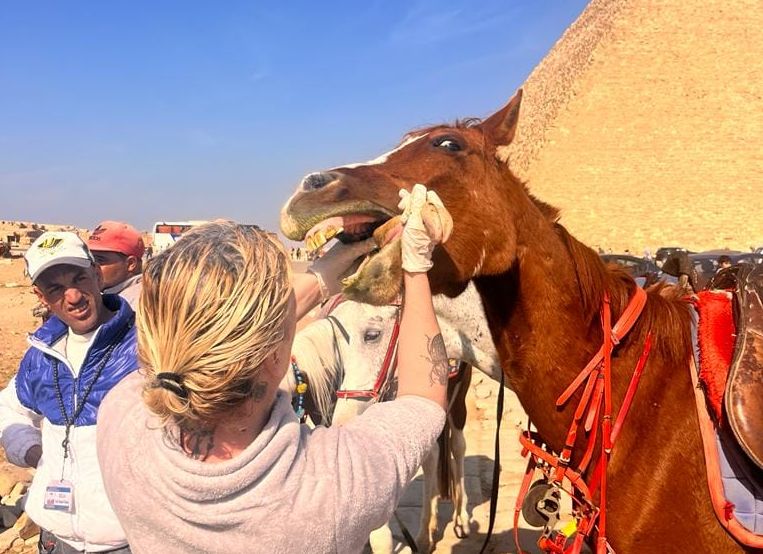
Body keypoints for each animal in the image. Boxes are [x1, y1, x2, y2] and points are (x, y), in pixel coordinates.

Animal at [286, 282, 502, 548]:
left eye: (372, 335)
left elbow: (380, 536)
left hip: (458, 396)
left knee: (457, 447)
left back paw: (459, 519)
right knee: (432, 455)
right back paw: (426, 532)